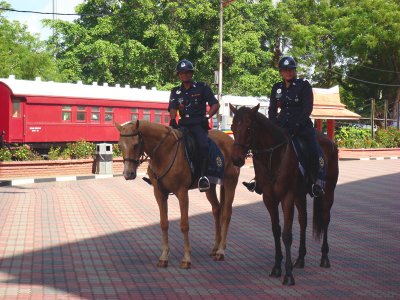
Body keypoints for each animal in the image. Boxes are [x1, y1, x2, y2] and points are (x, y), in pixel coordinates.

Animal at [115, 120, 241, 268]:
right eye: (119, 145)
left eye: (135, 144)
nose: (128, 174)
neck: (164, 153)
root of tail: (229, 140)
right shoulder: (159, 194)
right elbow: (164, 223)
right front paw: (164, 256)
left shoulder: (182, 193)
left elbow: (184, 225)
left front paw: (186, 258)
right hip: (210, 187)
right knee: (217, 210)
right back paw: (216, 247)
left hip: (230, 183)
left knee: (226, 214)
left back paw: (221, 251)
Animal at [230, 104, 340, 284]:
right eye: (232, 127)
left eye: (249, 128)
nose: (236, 159)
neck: (273, 156)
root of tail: (330, 142)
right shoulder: (269, 198)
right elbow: (276, 230)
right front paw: (276, 267)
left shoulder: (287, 197)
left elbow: (287, 235)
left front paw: (288, 274)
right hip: (300, 195)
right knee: (303, 221)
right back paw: (300, 258)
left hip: (328, 192)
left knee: (325, 219)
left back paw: (324, 257)